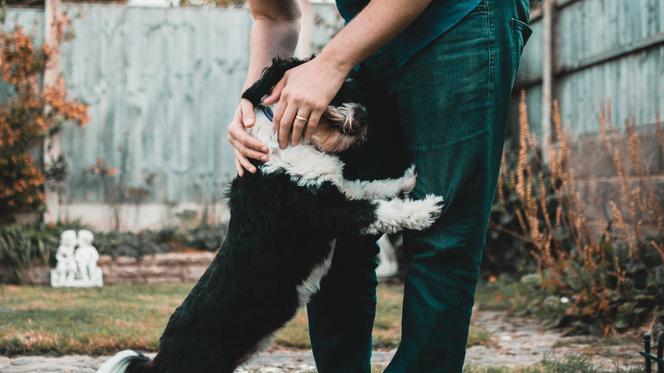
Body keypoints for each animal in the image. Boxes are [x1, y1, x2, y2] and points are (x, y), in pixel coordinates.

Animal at [97, 57, 440, 372]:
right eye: (337, 88)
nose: (366, 115)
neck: (285, 144)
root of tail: (158, 361)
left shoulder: (340, 190)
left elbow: (371, 187)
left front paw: (406, 180)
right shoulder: (329, 211)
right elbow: (380, 208)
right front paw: (426, 208)